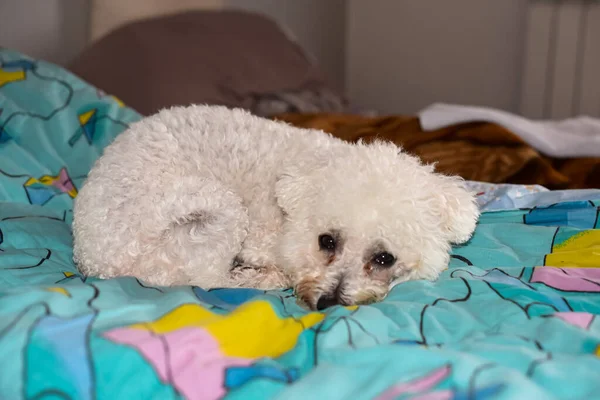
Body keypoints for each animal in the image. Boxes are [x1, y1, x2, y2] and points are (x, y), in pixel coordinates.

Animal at [74, 105, 478, 310]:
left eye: (384, 259)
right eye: (326, 241)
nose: (327, 303)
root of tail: (94, 256)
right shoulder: (260, 238)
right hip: (217, 207)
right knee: (207, 278)